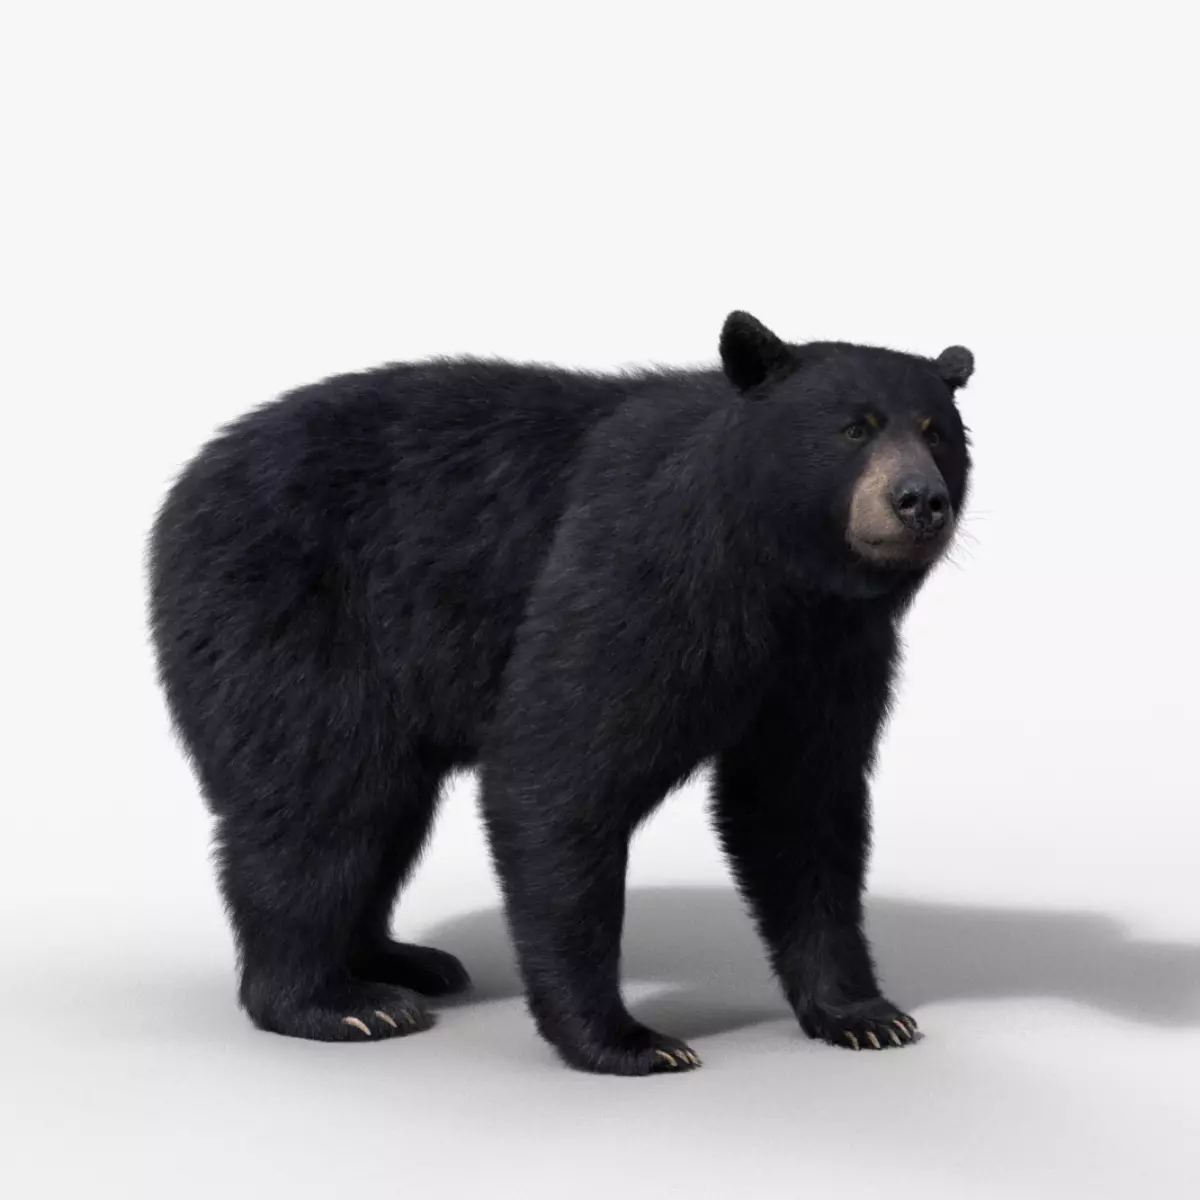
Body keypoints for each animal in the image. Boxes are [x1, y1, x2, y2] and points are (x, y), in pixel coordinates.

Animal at [149, 311, 974, 1075]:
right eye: (853, 428)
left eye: (937, 432)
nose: (918, 500)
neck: (780, 579)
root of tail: (189, 478)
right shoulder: (638, 577)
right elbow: (559, 771)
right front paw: (625, 1038)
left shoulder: (832, 657)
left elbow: (799, 804)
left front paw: (863, 1013)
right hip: (288, 615)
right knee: (321, 799)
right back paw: (333, 1001)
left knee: (384, 811)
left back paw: (397, 961)